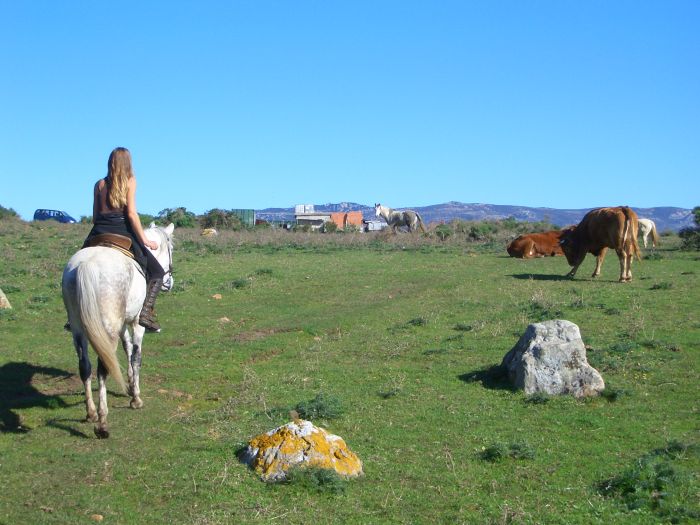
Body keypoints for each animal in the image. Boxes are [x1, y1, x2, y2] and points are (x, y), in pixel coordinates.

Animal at [62, 223, 174, 436]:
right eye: (172, 249)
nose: (169, 282)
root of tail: (86, 265)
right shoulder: (137, 323)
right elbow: (136, 356)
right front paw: (135, 397)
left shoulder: (122, 325)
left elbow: (127, 347)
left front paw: (130, 385)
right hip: (108, 328)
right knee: (102, 368)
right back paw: (102, 423)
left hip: (79, 329)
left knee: (85, 366)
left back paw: (91, 413)